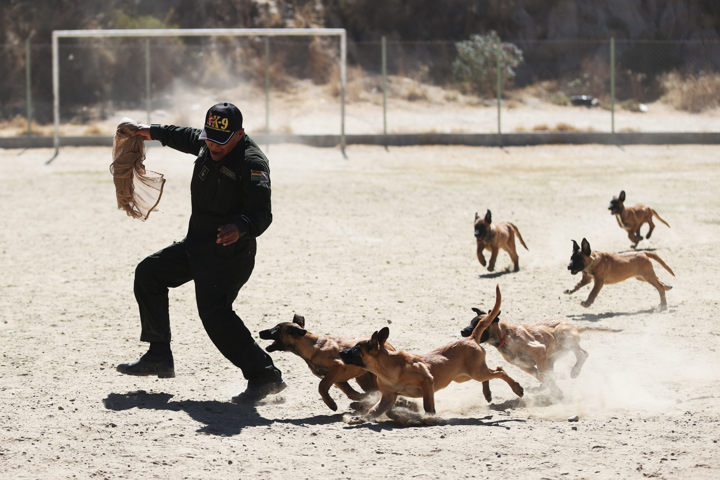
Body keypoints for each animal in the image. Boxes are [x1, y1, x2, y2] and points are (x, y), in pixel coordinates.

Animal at [258, 314, 394, 410]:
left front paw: (331, 404)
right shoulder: (337, 379)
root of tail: (383, 344)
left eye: (276, 329)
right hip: (364, 378)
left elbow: (321, 387)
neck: (314, 346)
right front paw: (363, 399)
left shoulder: (337, 368)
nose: (259, 332)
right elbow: (351, 393)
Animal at [338, 286, 524, 422]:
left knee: (500, 371)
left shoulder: (427, 381)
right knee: (492, 373)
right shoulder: (387, 398)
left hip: (475, 372)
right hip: (465, 375)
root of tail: (471, 338)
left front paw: (428, 418)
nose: (340, 352)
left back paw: (517, 389)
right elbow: (372, 411)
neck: (388, 369)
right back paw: (488, 394)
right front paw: (358, 418)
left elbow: (428, 407)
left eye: (356, 349)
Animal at [462, 312, 620, 394]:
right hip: (551, 358)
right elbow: (540, 375)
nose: (462, 331)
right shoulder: (525, 366)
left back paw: (575, 371)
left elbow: (544, 375)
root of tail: (574, 326)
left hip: (562, 335)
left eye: (478, 323)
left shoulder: (539, 351)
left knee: (583, 353)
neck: (505, 336)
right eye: (470, 322)